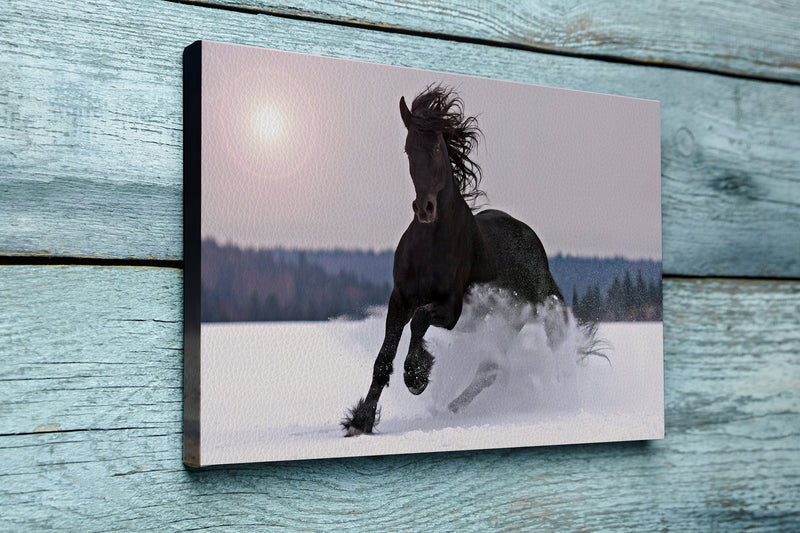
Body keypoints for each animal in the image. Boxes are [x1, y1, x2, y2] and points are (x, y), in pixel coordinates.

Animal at [340, 85, 564, 434]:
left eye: (435, 147)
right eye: (407, 150)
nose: (425, 208)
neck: (430, 244)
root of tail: (532, 241)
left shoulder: (451, 308)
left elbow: (419, 322)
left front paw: (416, 376)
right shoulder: (400, 299)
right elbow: (383, 358)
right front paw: (360, 421)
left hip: (524, 315)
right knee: (490, 368)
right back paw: (452, 408)